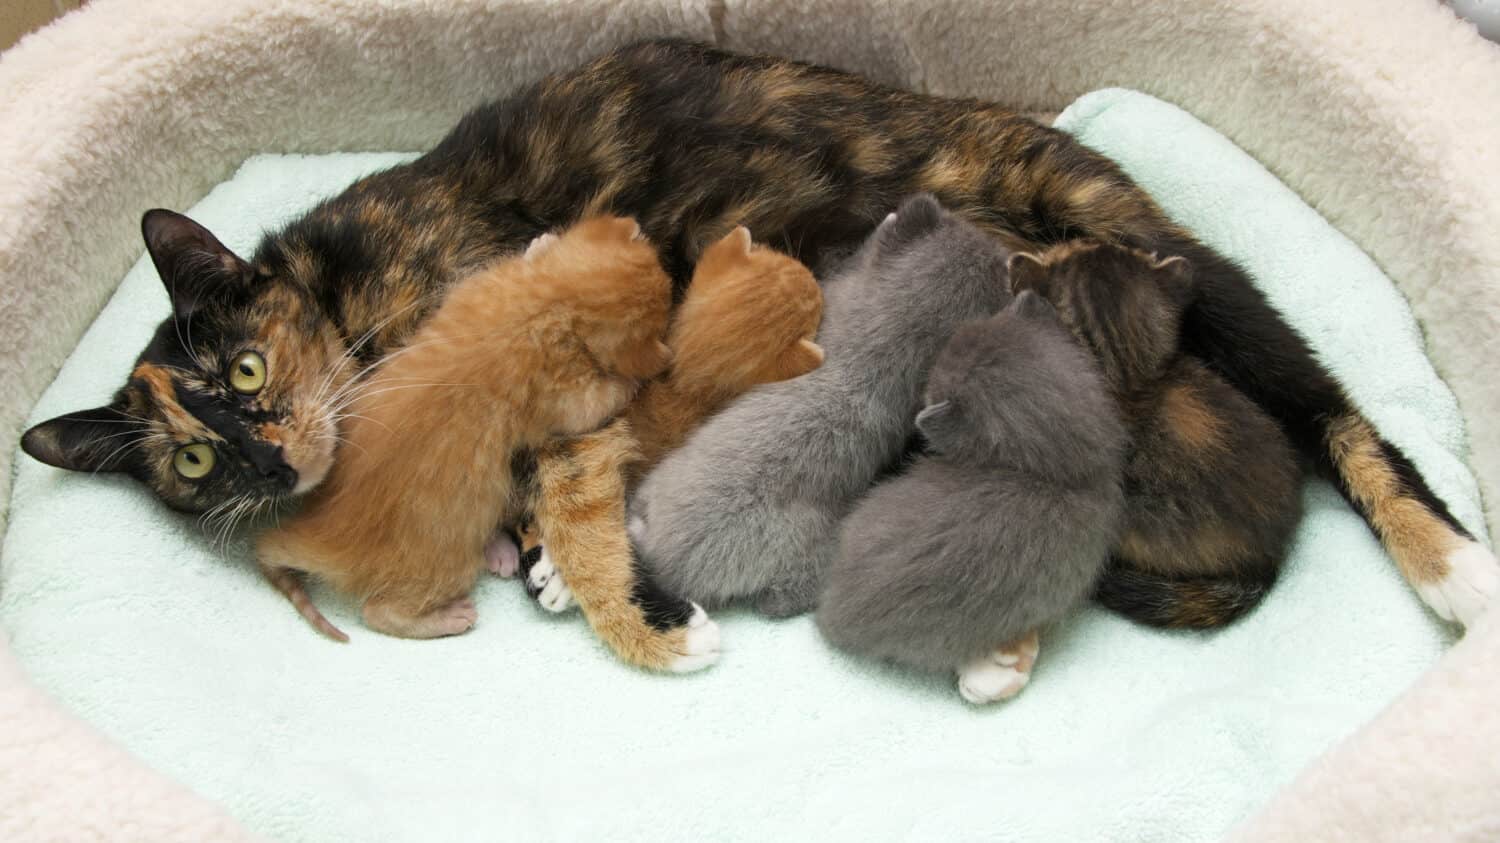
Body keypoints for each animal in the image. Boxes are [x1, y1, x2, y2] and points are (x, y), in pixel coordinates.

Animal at [258, 214, 675, 636]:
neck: (548, 307)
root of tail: (318, 534)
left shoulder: (474, 286)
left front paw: (540, 245)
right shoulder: (566, 399)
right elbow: (597, 404)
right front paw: (633, 381)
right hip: (443, 562)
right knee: (378, 611)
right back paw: (448, 616)